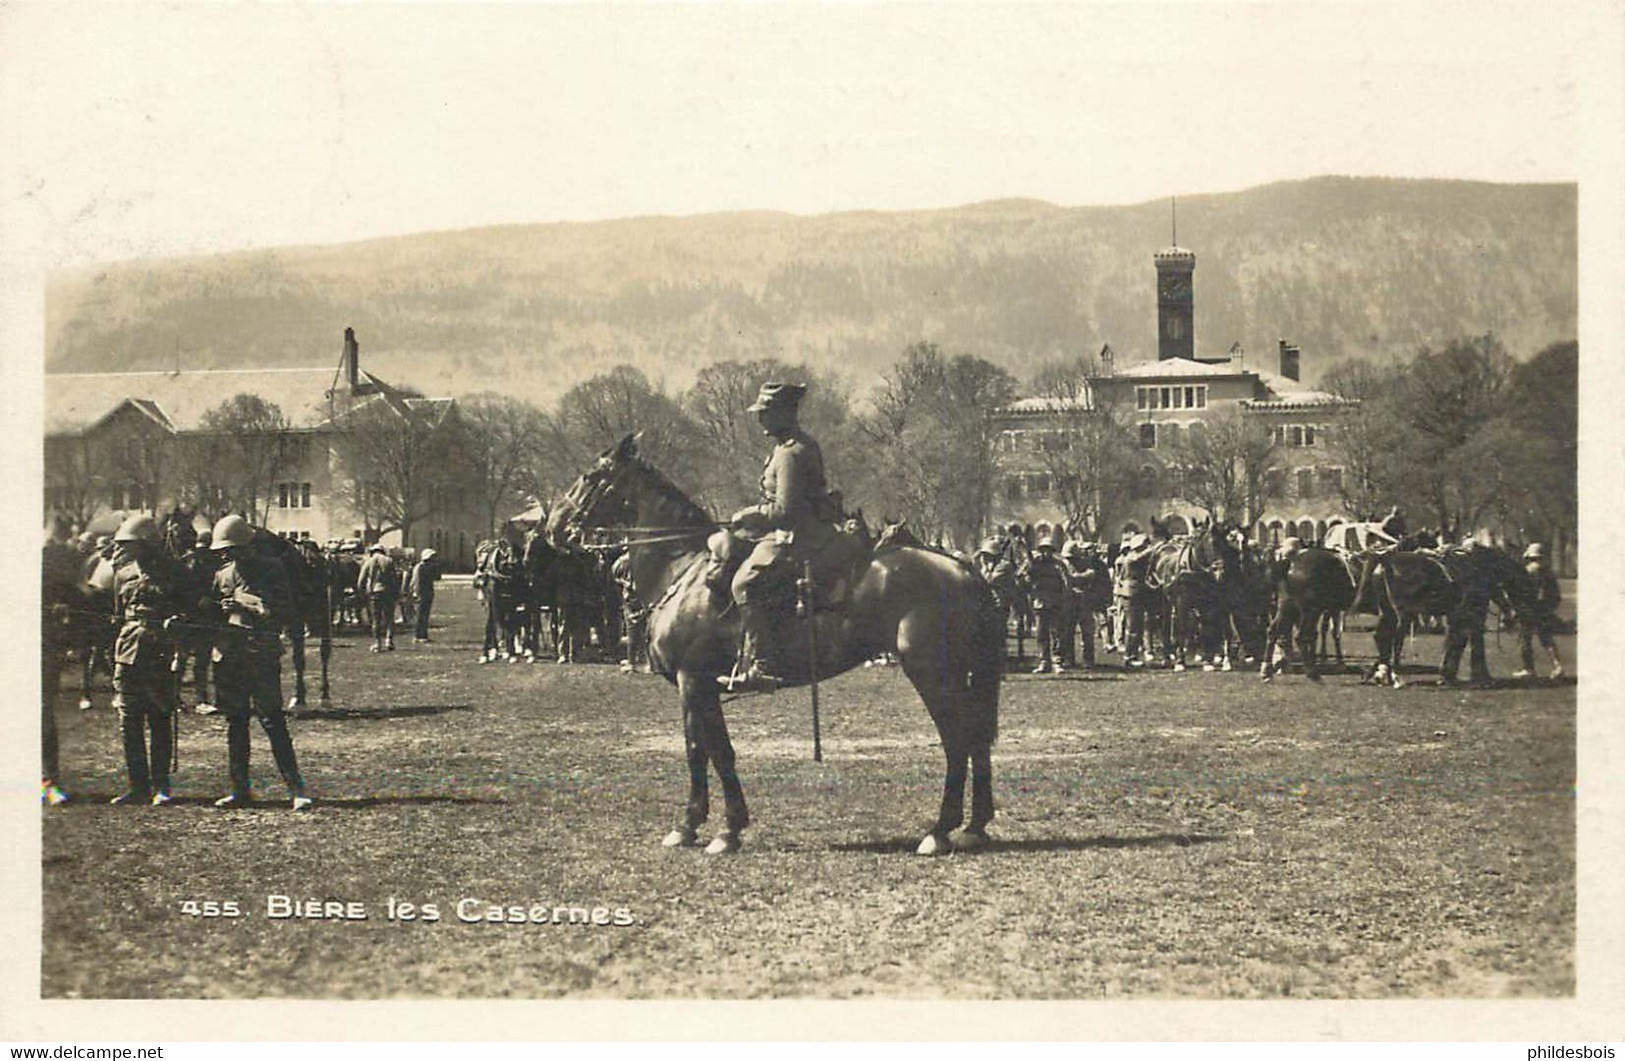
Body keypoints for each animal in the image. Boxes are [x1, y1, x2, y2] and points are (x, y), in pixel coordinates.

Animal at [549, 435, 1001, 857]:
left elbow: (711, 752)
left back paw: (939, 830)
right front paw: (705, 826)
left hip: (931, 673)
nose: (554, 526)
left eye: (591, 476)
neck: (681, 569)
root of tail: (963, 568)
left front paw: (714, 829)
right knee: (977, 739)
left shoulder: (693, 682)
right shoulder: (697, 688)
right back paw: (975, 826)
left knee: (957, 740)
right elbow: (707, 751)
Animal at [1358, 545, 1534, 685]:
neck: (1480, 568)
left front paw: (1448, 675)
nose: (1513, 619)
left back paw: (1383, 674)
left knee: (1382, 636)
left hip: (1389, 612)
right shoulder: (1473, 614)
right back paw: (1395, 676)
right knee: (1396, 638)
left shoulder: (1457, 616)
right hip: (1404, 613)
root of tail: (1386, 559)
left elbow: (1457, 641)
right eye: (1524, 588)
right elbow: (1469, 640)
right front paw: (1481, 678)